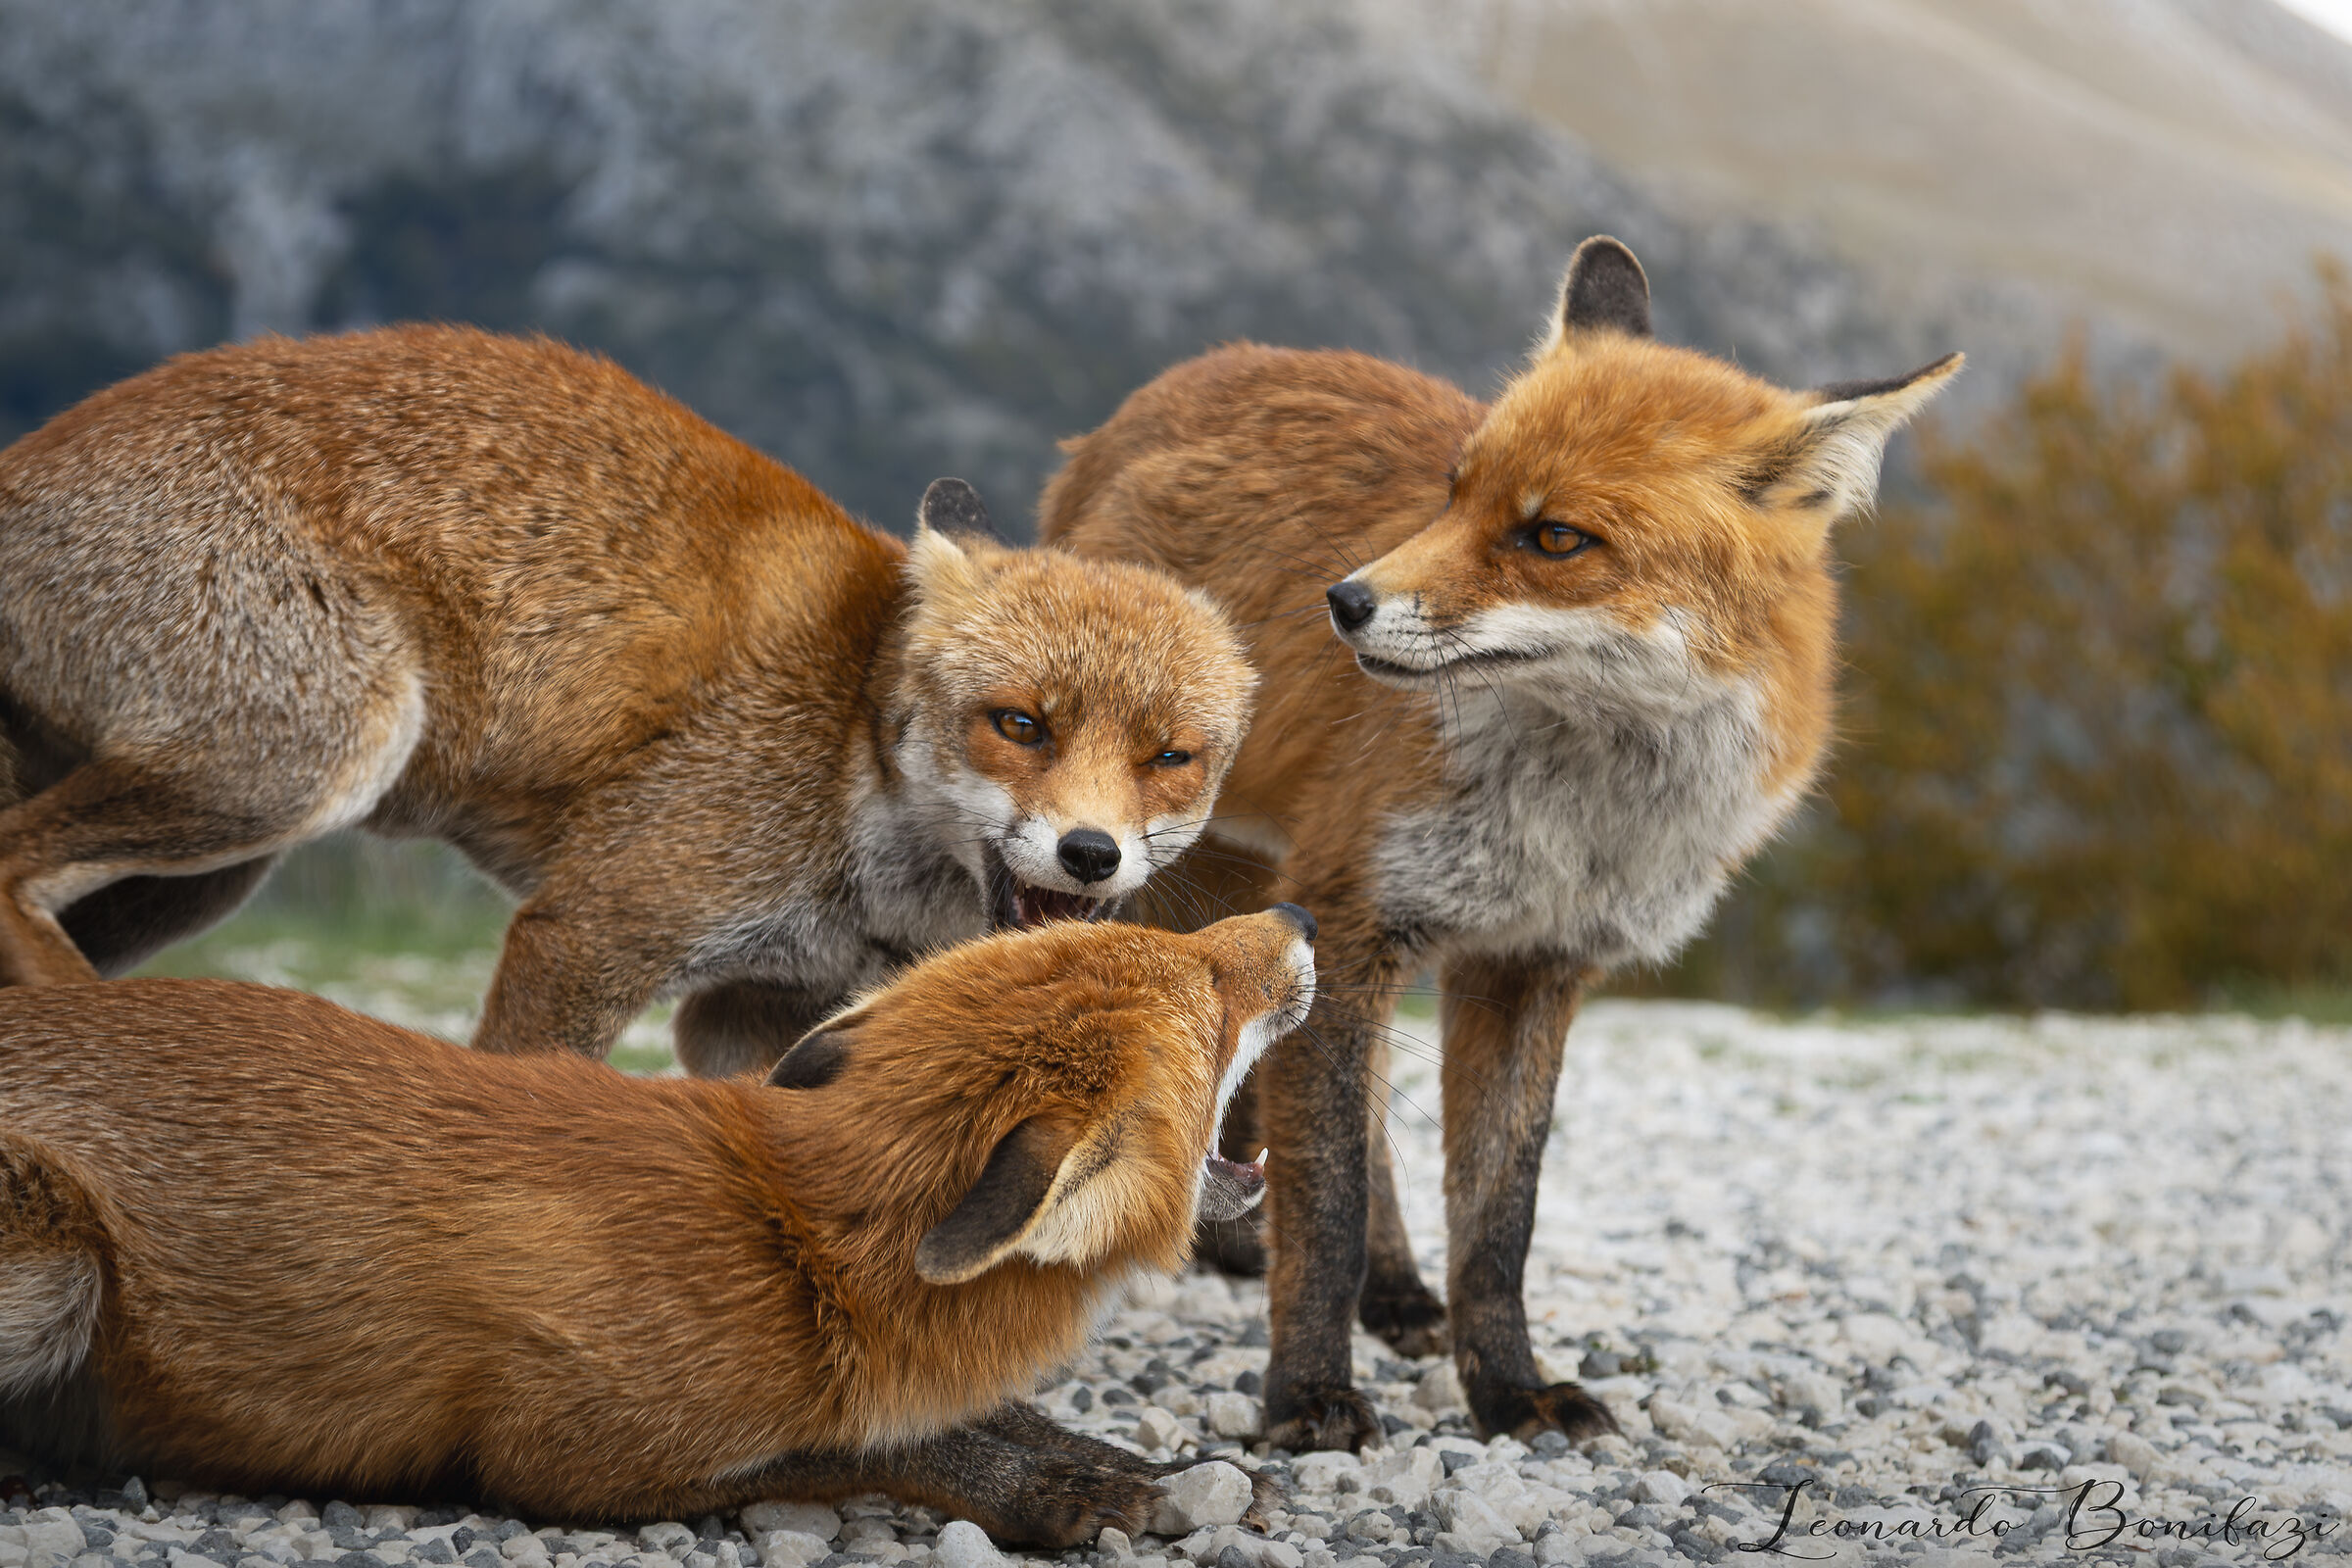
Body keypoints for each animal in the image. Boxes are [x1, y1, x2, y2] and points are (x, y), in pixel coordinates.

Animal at [0, 326, 1255, 1071]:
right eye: (1021, 724)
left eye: (1170, 757)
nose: (1092, 854)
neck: (846, 750)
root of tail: (27, 455)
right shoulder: (592, 928)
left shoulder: (750, 1009)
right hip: (291, 770)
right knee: (11, 862)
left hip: (209, 872)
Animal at [0, 905, 1317, 1541]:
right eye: (1212, 990)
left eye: (1181, 946)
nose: (1302, 911)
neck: (794, 1240)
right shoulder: (570, 1452)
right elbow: (883, 1447)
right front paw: (1067, 1493)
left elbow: (993, 1417)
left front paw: (1155, 1467)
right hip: (55, 1266)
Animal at [1041, 237, 1960, 1451]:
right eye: (1453, 489)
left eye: (1555, 537)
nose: (1343, 600)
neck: (1580, 818)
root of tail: (1172, 384)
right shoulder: (1355, 912)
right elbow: (1326, 1205)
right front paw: (1310, 1397)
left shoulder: (1531, 963)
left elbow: (1496, 1220)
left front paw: (1511, 1389)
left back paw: (1389, 1290)